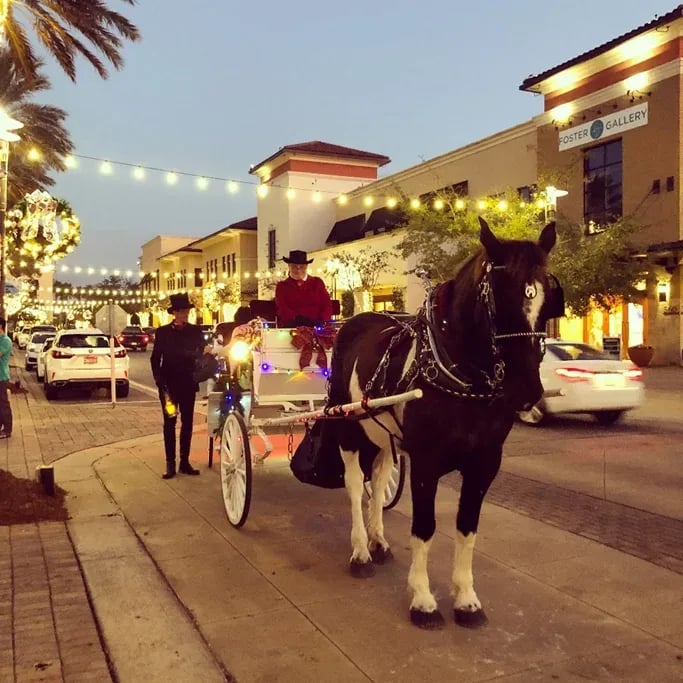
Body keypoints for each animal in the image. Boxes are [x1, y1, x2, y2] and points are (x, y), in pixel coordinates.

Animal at [328, 219, 560, 632]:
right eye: (498, 299)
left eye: (547, 300)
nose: (527, 391)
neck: (463, 375)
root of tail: (356, 320)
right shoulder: (425, 461)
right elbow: (424, 526)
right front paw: (423, 599)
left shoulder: (486, 462)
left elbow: (466, 527)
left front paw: (466, 598)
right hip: (349, 426)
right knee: (355, 485)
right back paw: (360, 552)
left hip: (383, 434)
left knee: (380, 476)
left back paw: (378, 541)